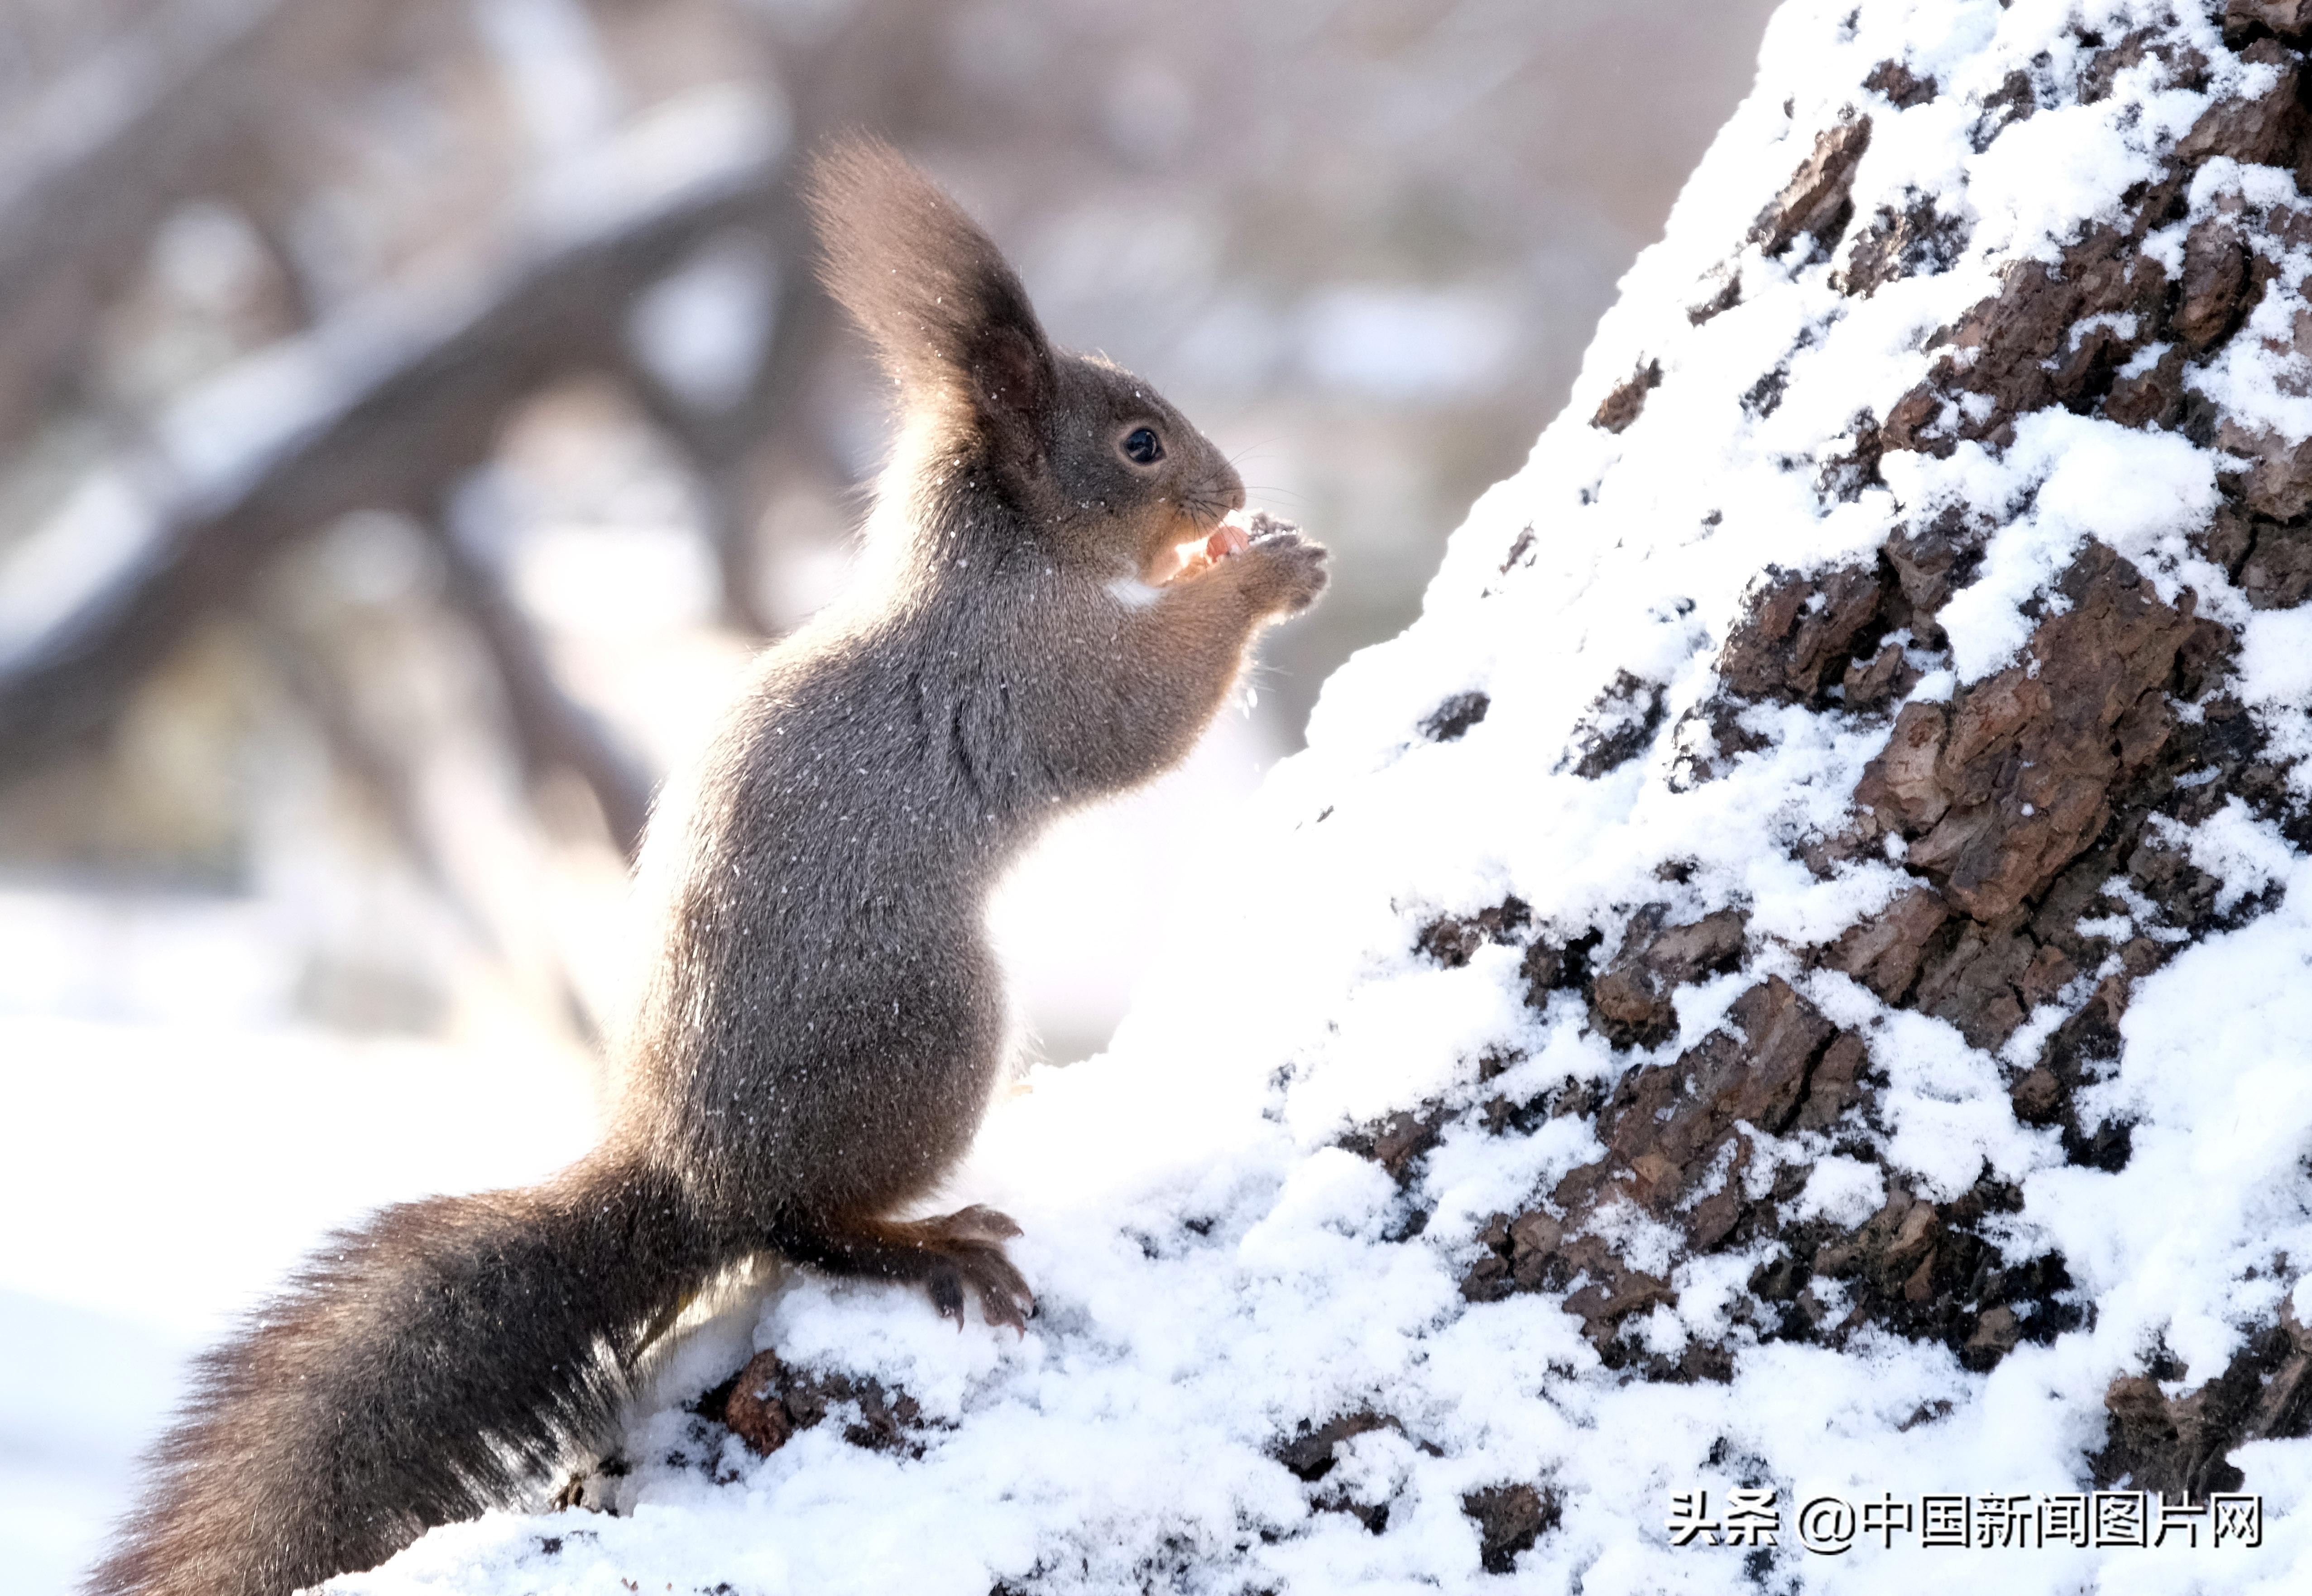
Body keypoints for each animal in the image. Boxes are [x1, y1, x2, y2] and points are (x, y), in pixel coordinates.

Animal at [90, 140, 1332, 1591]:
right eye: (1140, 444)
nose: (1229, 491)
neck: (995, 563)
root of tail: (688, 1177)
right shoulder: (1030, 673)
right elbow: (1142, 717)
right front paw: (1259, 573)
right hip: (928, 1030)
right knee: (804, 1225)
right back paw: (922, 1240)